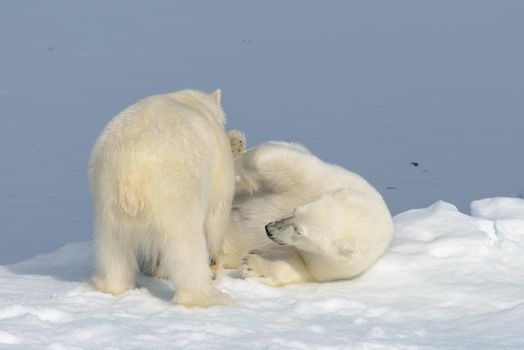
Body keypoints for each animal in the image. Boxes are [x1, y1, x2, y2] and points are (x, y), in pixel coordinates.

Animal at [90, 89, 235, 306]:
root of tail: (132, 170)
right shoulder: (219, 171)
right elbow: (216, 216)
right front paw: (215, 265)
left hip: (107, 193)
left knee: (113, 246)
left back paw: (112, 286)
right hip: (175, 190)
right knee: (186, 242)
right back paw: (209, 297)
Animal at [221, 132, 392, 288]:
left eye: (299, 231)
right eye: (296, 210)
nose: (268, 229)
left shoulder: (326, 264)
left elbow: (294, 267)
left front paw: (252, 264)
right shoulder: (325, 180)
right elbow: (273, 158)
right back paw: (234, 143)